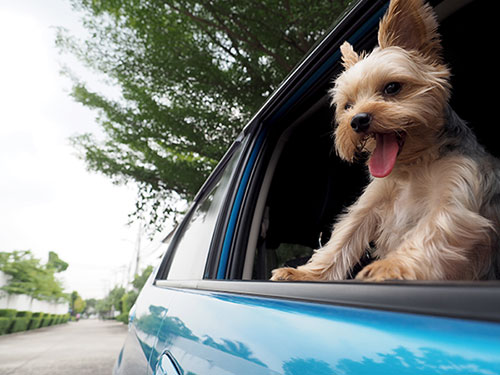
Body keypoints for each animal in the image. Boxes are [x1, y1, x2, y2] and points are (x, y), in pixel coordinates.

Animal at [272, 0, 500, 282]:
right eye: (348, 105)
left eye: (392, 88)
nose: (357, 121)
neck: (414, 164)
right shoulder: (371, 202)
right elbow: (343, 237)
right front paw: (305, 274)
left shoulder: (457, 191)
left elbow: (434, 228)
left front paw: (390, 266)